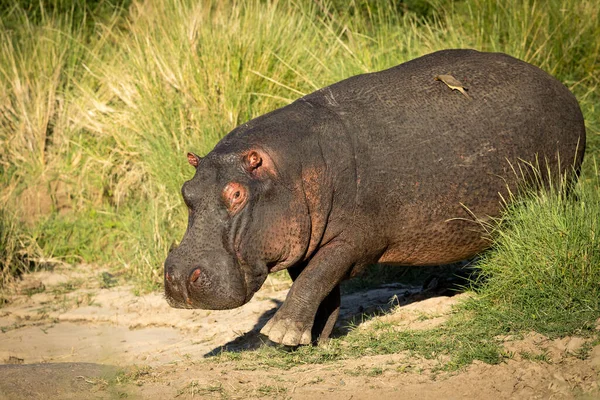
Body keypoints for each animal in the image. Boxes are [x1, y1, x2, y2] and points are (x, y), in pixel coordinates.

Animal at [164, 47, 584, 346]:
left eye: (236, 192)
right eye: (186, 191)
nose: (179, 277)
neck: (290, 168)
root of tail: (562, 87)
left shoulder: (354, 239)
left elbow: (315, 278)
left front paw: (279, 334)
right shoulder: (308, 237)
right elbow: (318, 284)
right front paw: (315, 337)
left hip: (558, 187)